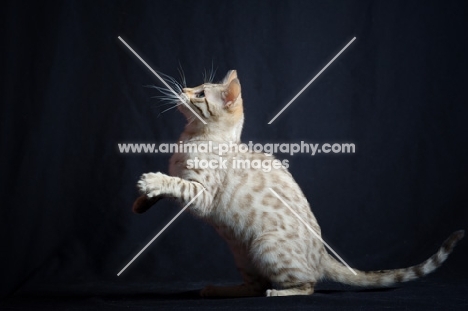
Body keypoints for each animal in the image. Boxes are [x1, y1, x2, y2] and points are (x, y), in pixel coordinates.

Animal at [132, 69, 464, 298]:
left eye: (200, 94)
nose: (183, 89)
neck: (191, 137)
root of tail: (321, 254)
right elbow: (165, 189)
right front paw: (141, 201)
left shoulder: (202, 194)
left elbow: (176, 184)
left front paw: (152, 180)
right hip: (243, 255)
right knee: (253, 285)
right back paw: (219, 290)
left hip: (266, 246)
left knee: (306, 285)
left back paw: (279, 292)